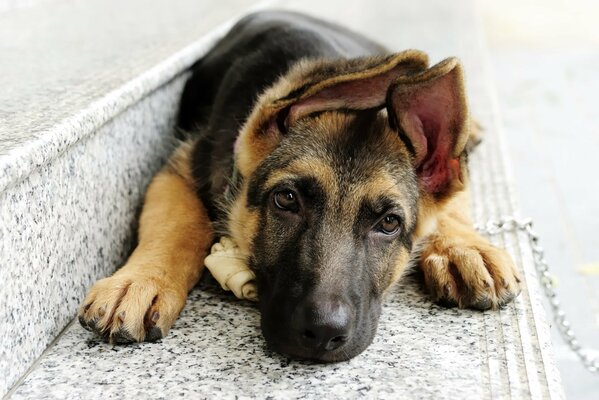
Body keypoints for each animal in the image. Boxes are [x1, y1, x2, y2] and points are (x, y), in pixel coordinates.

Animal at [78, 10, 520, 362]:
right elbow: (176, 222)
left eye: (389, 223)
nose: (323, 333)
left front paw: (464, 247)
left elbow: (451, 203)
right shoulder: (180, 165)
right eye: (286, 199)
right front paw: (140, 280)